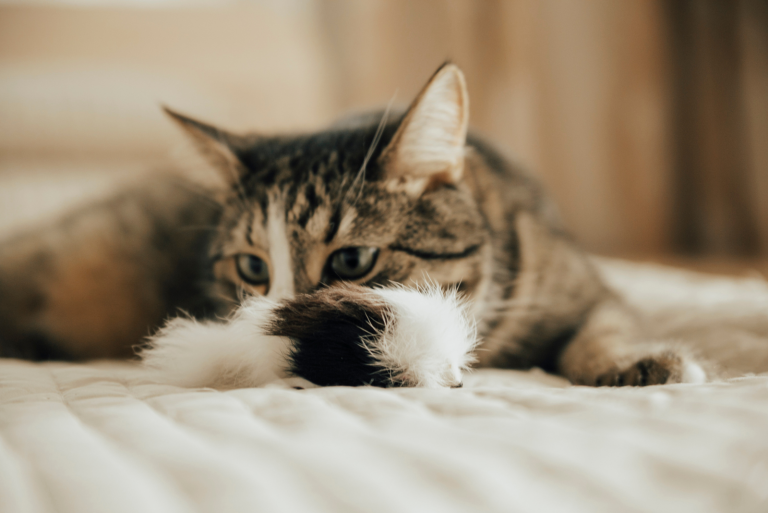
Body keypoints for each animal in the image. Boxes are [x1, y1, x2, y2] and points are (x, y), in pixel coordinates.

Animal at [0, 62, 708, 386]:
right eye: (252, 267)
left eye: (351, 261)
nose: (278, 326)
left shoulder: (584, 286)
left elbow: (604, 327)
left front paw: (640, 360)